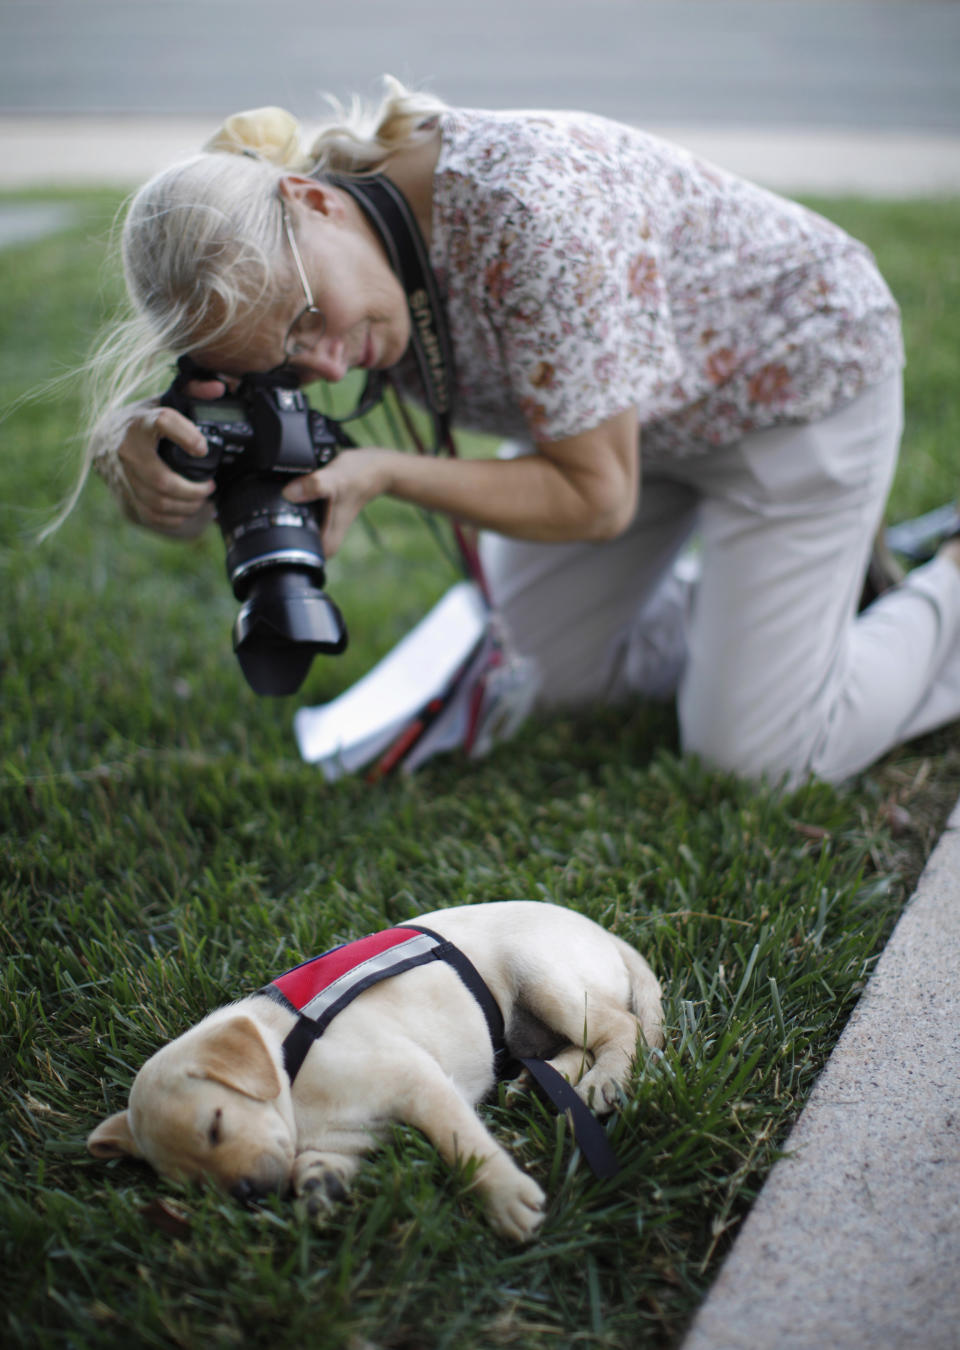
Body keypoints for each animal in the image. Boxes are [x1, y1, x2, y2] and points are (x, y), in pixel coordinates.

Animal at [88, 901, 661, 1236]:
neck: (289, 1066)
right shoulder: (348, 1136)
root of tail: (605, 934)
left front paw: (504, 1198)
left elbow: (463, 1144)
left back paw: (604, 1079)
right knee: (573, 1044)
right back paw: (536, 1083)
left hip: (542, 978)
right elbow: (323, 1161)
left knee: (620, 1026)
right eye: (194, 1188)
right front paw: (317, 1184)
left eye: (215, 1125)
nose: (250, 1197)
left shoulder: (418, 1081)